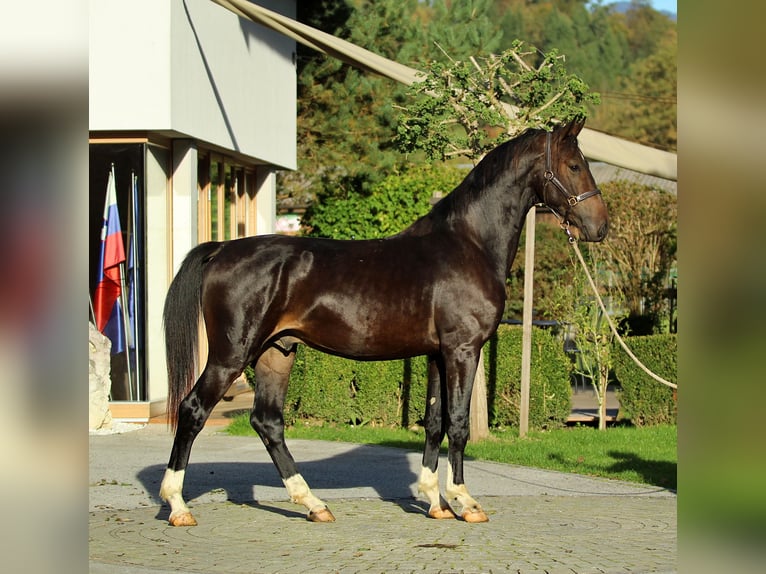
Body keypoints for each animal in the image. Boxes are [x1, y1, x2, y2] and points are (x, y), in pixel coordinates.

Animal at [159, 118, 608, 526]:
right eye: (573, 165)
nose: (600, 227)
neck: (469, 243)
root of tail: (221, 249)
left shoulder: (436, 355)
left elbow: (434, 422)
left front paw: (434, 502)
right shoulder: (462, 350)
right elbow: (458, 424)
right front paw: (464, 502)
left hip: (277, 353)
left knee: (267, 422)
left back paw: (314, 505)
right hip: (231, 356)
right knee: (194, 409)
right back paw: (179, 507)